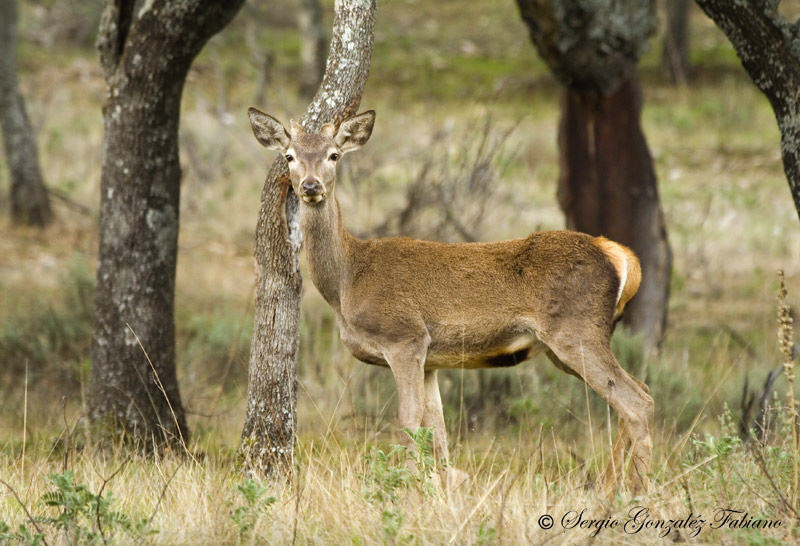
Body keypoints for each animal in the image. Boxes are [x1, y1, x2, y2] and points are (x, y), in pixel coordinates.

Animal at [247, 107, 654, 494]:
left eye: (333, 155)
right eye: (289, 156)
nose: (310, 186)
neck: (348, 281)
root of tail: (620, 255)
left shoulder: (404, 337)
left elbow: (408, 423)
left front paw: (406, 492)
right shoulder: (431, 359)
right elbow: (438, 431)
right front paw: (440, 493)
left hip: (575, 331)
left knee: (637, 401)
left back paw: (638, 491)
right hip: (568, 344)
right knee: (637, 393)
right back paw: (609, 489)